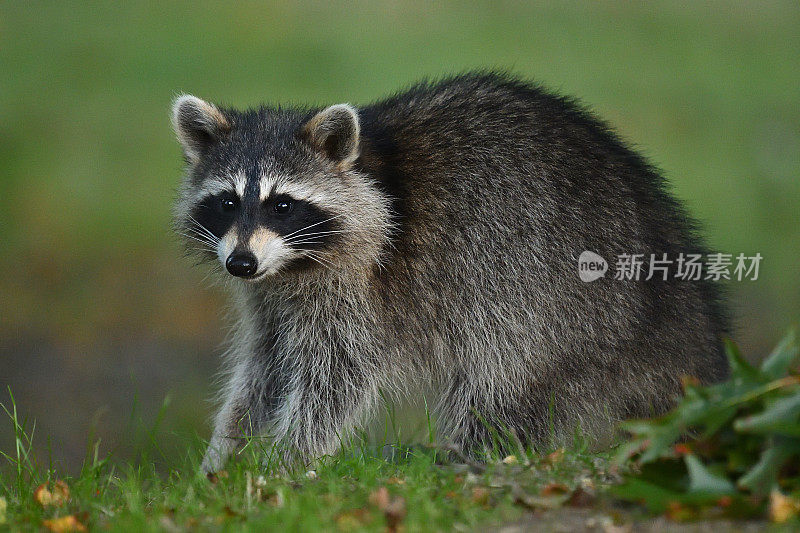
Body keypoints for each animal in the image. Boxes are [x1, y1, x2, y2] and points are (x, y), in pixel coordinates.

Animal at [172, 71, 728, 474]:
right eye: (227, 202)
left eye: (283, 205)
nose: (240, 264)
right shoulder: (271, 295)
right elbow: (266, 368)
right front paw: (225, 452)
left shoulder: (362, 290)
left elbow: (335, 379)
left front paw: (284, 463)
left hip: (556, 302)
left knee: (504, 380)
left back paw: (472, 455)